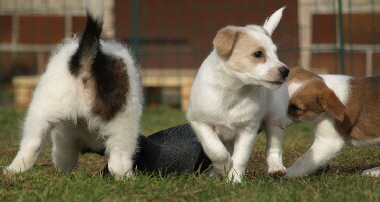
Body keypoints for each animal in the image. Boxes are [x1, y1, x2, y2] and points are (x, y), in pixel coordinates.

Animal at [3, 0, 143, 180]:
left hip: (43, 109)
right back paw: (128, 178)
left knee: (31, 144)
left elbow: (63, 155)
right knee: (119, 161)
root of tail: (87, 62)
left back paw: (13, 170)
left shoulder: (64, 135)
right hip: (124, 121)